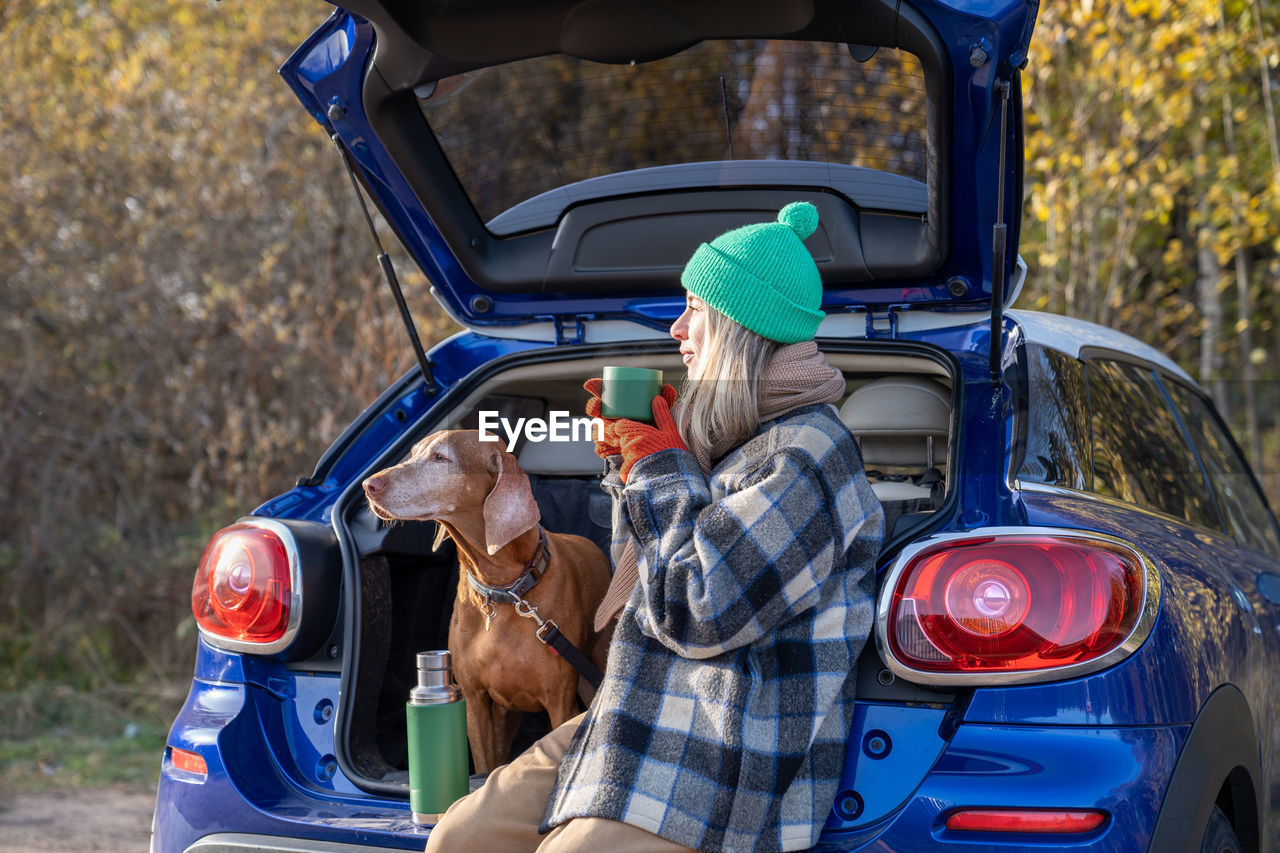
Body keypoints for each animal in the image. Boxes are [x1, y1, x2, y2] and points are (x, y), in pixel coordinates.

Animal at [363, 432, 611, 768]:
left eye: (440, 458)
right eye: (413, 453)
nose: (368, 485)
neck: (504, 589)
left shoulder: (560, 703)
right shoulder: (475, 701)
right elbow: (484, 766)